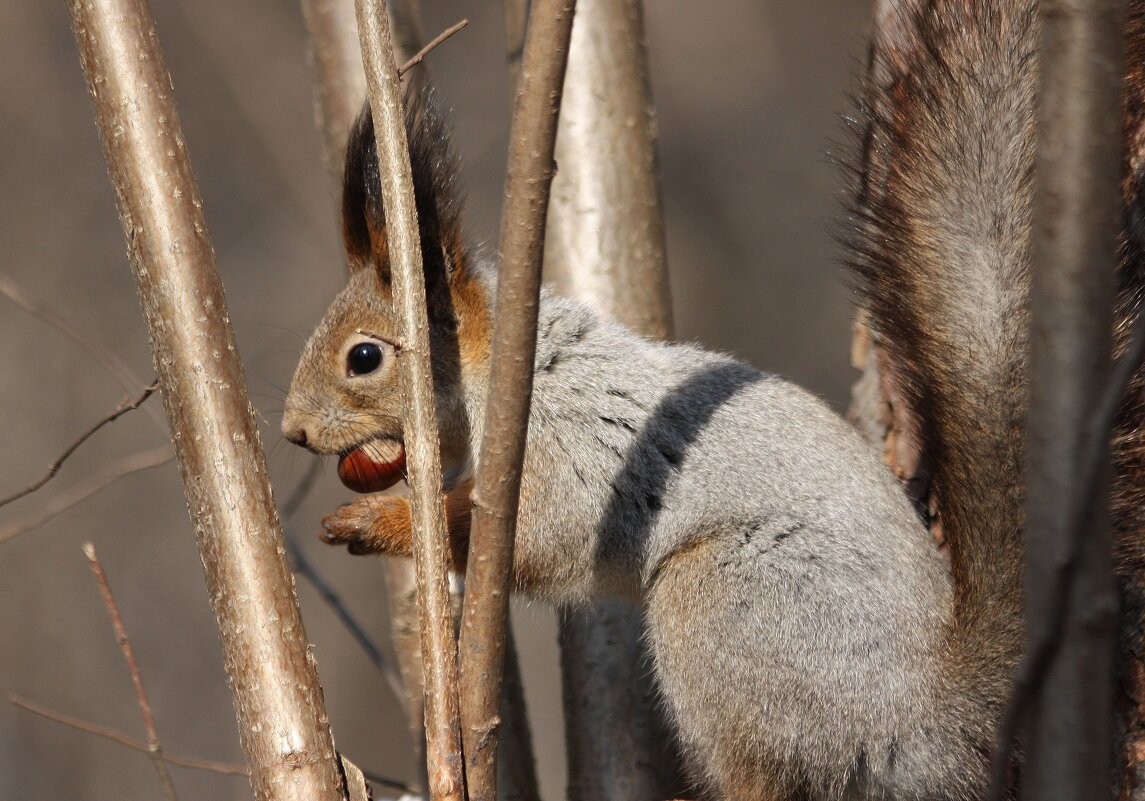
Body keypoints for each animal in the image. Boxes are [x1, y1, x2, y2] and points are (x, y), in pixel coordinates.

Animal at [283, 1, 1145, 801]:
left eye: (364, 357)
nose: (292, 431)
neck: (514, 371)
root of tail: (928, 718)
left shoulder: (575, 452)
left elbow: (539, 537)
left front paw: (380, 520)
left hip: (726, 606)